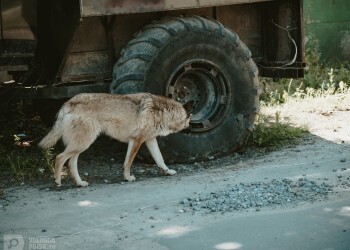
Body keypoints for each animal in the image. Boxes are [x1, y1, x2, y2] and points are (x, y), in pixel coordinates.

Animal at [39, 93, 193, 187]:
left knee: (71, 164)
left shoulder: (148, 140)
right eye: (189, 119)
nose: (192, 128)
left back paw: (80, 183)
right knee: (59, 157)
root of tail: (70, 102)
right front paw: (128, 178)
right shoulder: (137, 140)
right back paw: (58, 182)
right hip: (82, 145)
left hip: (80, 146)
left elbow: (160, 159)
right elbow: (128, 163)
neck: (164, 111)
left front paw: (168, 172)